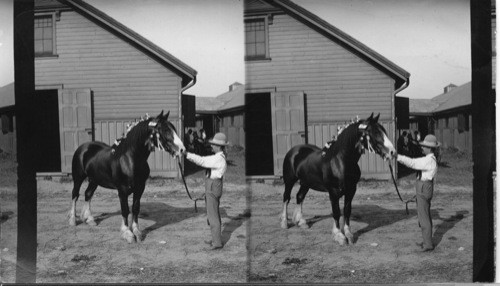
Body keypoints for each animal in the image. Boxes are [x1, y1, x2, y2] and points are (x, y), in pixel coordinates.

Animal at [66, 110, 184, 242]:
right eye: (165, 130)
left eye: (173, 129)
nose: (182, 149)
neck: (129, 159)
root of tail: (83, 147)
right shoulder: (122, 190)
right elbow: (125, 210)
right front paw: (127, 233)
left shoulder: (140, 188)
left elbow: (135, 208)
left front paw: (137, 232)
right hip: (78, 177)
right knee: (75, 194)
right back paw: (72, 220)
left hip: (94, 180)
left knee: (88, 194)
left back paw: (90, 219)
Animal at [282, 113, 394, 245]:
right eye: (374, 133)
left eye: (384, 131)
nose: (392, 152)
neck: (340, 161)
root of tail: (294, 150)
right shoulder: (333, 192)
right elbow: (336, 212)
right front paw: (339, 235)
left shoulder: (351, 190)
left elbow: (346, 211)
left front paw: (349, 234)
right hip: (289, 181)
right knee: (286, 198)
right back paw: (284, 223)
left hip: (306, 183)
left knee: (299, 196)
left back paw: (301, 222)